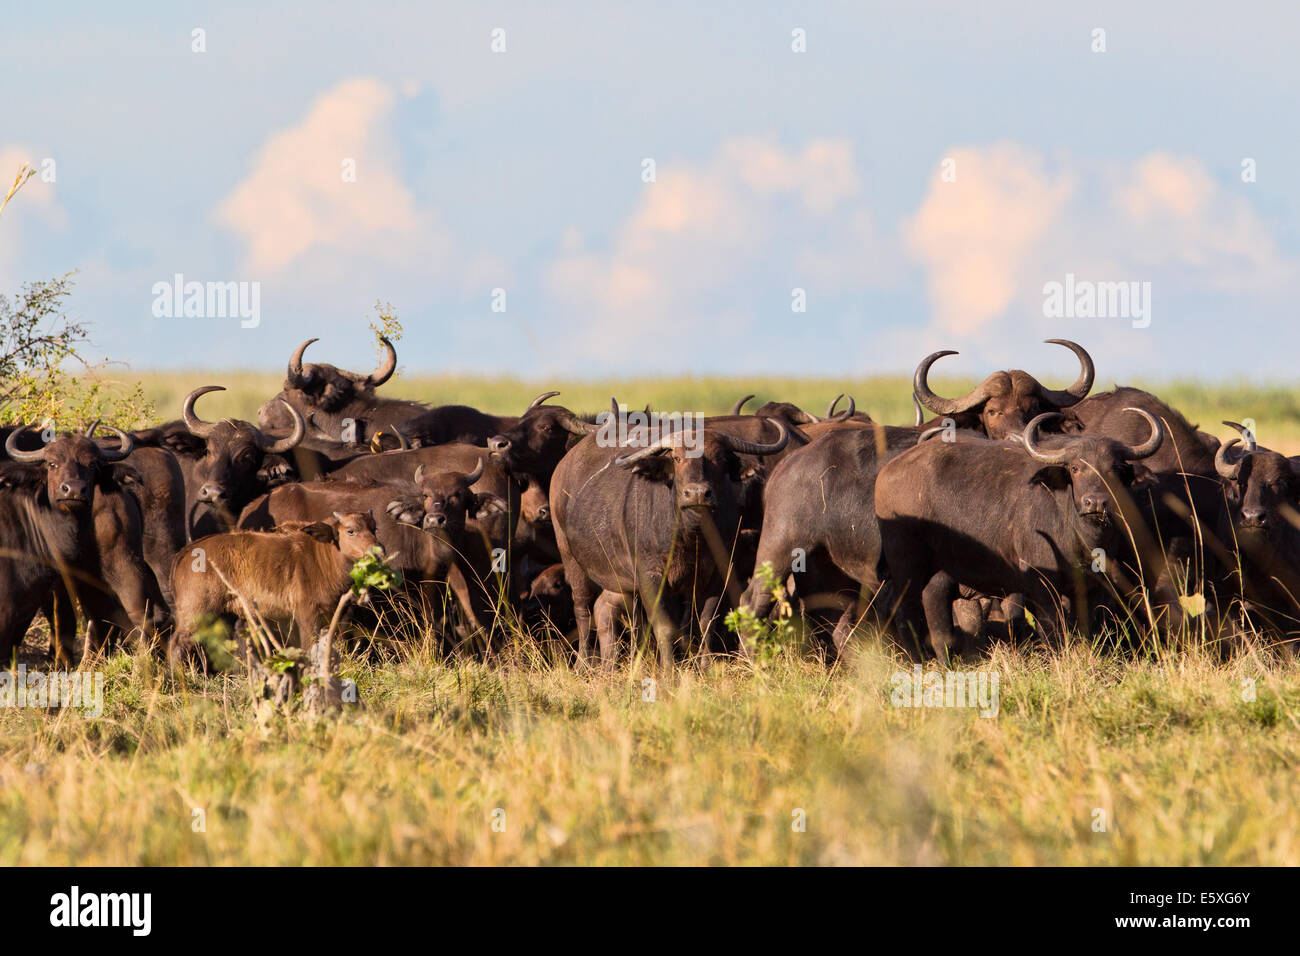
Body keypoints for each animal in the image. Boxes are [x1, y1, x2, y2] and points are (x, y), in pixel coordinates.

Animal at [170, 512, 379, 660]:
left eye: (374, 529)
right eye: (351, 530)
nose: (377, 550)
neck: (323, 556)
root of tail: (186, 551)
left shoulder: (332, 615)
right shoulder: (307, 615)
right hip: (196, 611)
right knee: (177, 644)